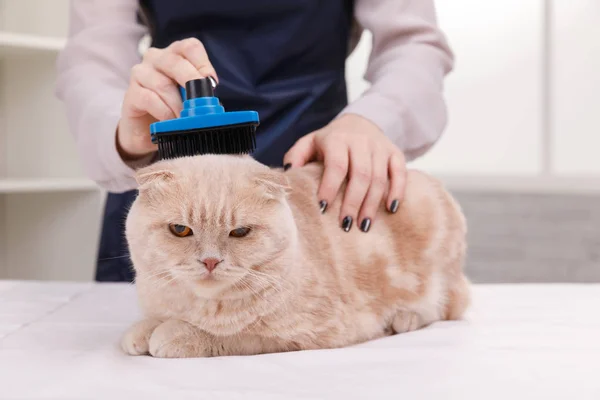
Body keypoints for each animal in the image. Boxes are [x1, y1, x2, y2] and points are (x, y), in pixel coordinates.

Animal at [120, 155, 468, 358]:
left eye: (239, 232)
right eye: (180, 230)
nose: (210, 261)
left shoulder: (307, 333)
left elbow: (232, 335)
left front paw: (172, 334)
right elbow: (155, 318)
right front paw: (142, 330)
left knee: (446, 304)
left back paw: (403, 319)